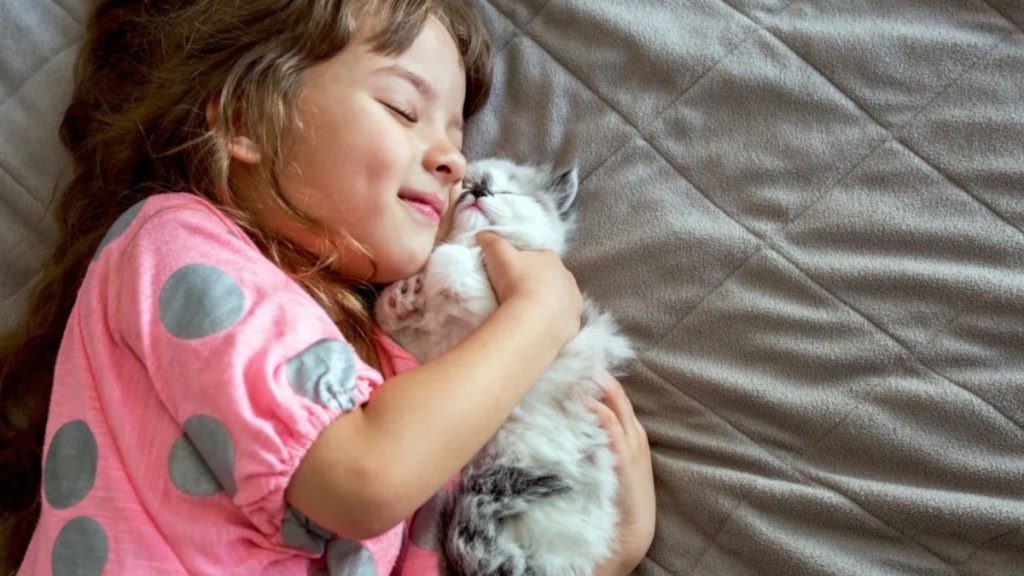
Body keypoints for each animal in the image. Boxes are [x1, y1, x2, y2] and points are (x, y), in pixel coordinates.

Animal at [376, 157, 630, 573]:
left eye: (506, 191)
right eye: (467, 186)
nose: (479, 190)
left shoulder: (497, 310)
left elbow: (450, 261)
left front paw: (438, 270)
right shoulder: (427, 353)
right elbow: (397, 319)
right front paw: (400, 298)